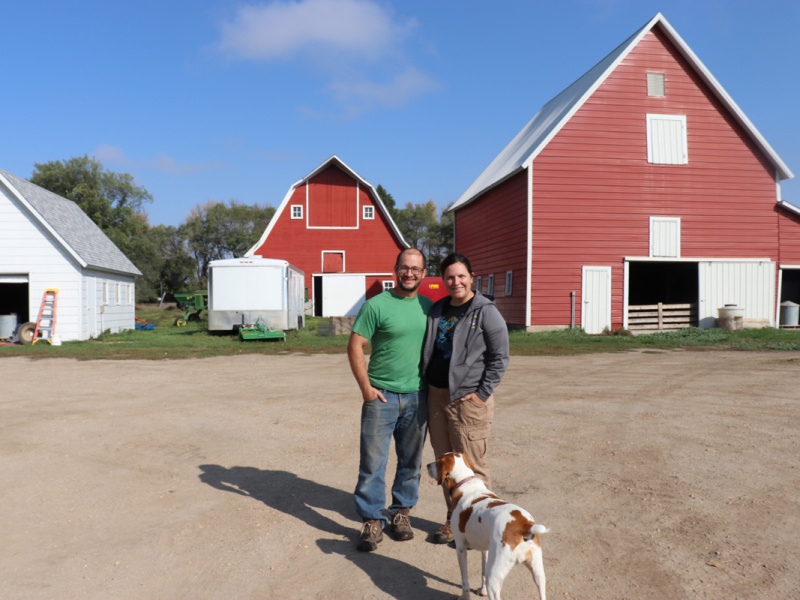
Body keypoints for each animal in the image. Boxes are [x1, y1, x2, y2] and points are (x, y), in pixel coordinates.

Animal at [424, 452, 552, 596]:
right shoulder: (485, 549)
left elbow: (465, 581)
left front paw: (464, 597)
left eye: (438, 461)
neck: (466, 482)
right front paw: (482, 590)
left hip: (494, 579)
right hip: (538, 574)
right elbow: (483, 572)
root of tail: (525, 526)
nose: (427, 465)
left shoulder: (461, 548)